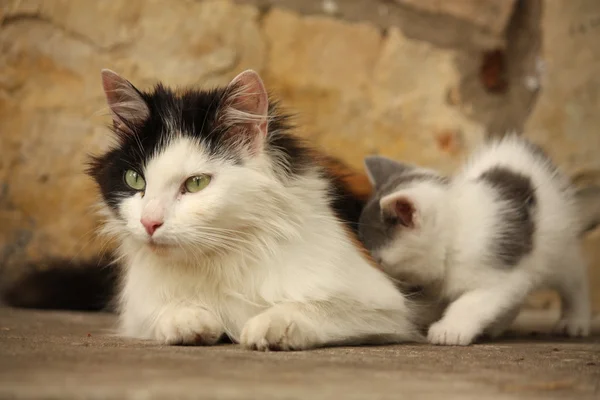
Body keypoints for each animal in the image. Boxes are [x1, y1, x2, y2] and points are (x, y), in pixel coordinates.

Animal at [3, 69, 422, 350]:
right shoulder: (139, 305)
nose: (149, 222)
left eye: (196, 183)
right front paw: (190, 320)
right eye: (135, 180)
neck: (219, 257)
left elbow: (312, 306)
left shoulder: (382, 303)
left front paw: (271, 325)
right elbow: (164, 312)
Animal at [358, 135, 592, 346]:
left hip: (559, 249)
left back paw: (576, 320)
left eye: (378, 261)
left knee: (574, 281)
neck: (453, 239)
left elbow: (471, 302)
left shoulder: (502, 275)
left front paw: (450, 330)